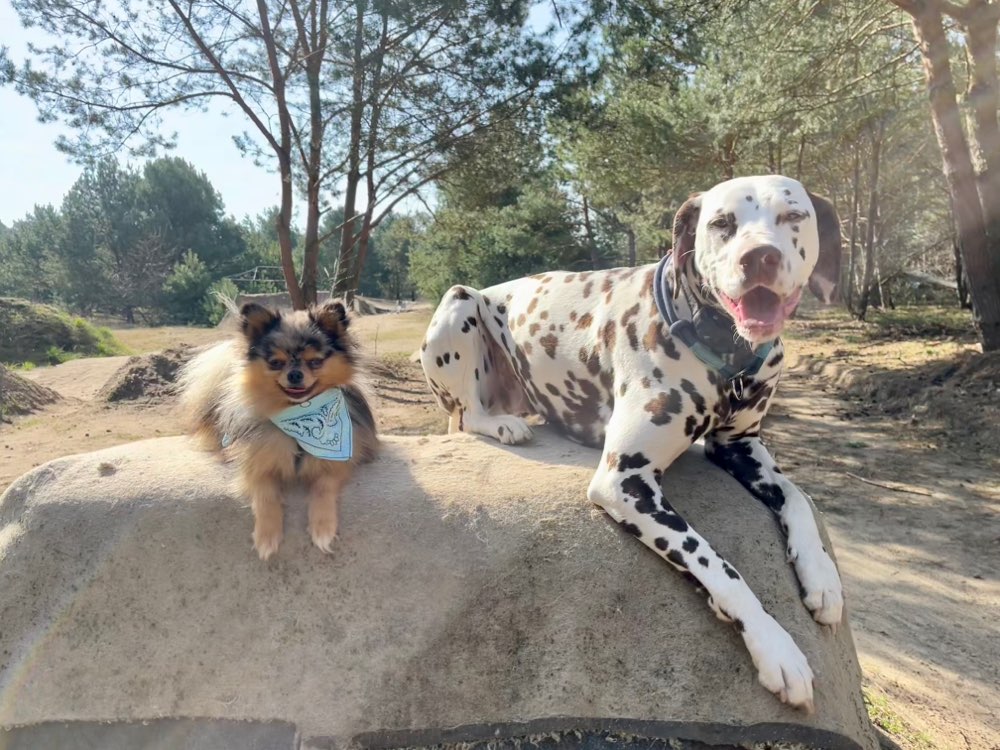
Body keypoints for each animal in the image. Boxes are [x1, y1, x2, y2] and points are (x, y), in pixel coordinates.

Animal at [178, 298, 376, 560]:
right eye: (275, 363)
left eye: (315, 361)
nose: (295, 374)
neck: (299, 418)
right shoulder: (256, 463)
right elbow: (265, 495)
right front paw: (266, 536)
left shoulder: (338, 459)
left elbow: (323, 487)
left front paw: (322, 528)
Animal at [420, 176, 844, 716]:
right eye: (722, 223)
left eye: (793, 216)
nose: (760, 257)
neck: (726, 351)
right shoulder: (624, 480)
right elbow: (716, 562)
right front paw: (775, 645)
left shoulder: (740, 446)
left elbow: (798, 496)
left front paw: (822, 575)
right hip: (458, 306)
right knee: (469, 414)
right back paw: (505, 426)